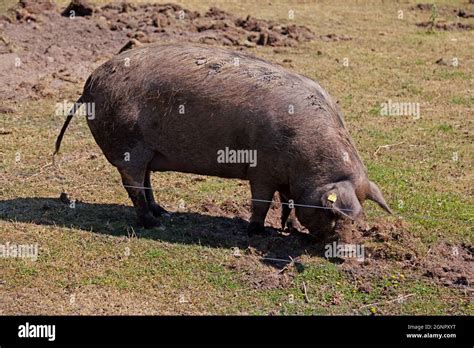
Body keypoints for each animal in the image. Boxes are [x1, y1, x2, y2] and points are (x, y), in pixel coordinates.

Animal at [53, 42, 390, 237]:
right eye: (334, 215)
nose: (344, 255)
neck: (306, 162)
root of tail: (91, 81)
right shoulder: (262, 170)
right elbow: (262, 202)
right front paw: (257, 232)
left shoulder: (287, 178)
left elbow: (287, 202)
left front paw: (290, 228)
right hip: (128, 146)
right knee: (133, 184)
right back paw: (153, 223)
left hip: (147, 150)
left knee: (146, 181)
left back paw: (164, 212)